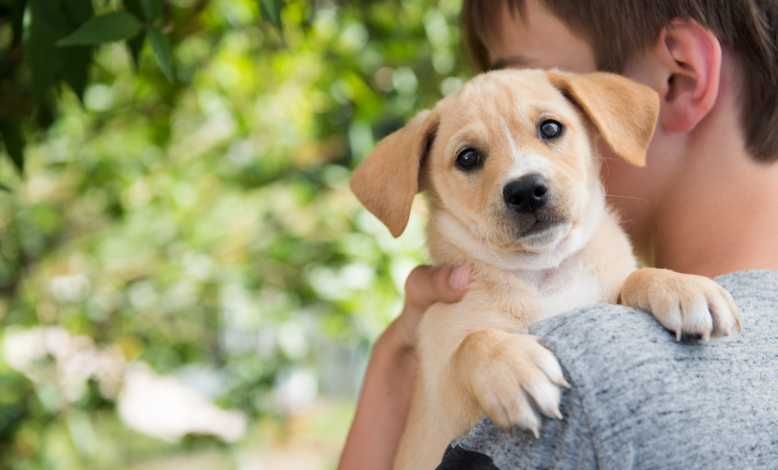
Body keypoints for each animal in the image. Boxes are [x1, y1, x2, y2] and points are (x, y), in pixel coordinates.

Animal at [348, 69, 740, 470]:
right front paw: (513, 369)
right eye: (468, 157)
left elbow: (634, 276)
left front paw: (681, 286)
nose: (525, 190)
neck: (544, 271)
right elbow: (473, 342)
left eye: (550, 128)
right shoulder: (442, 405)